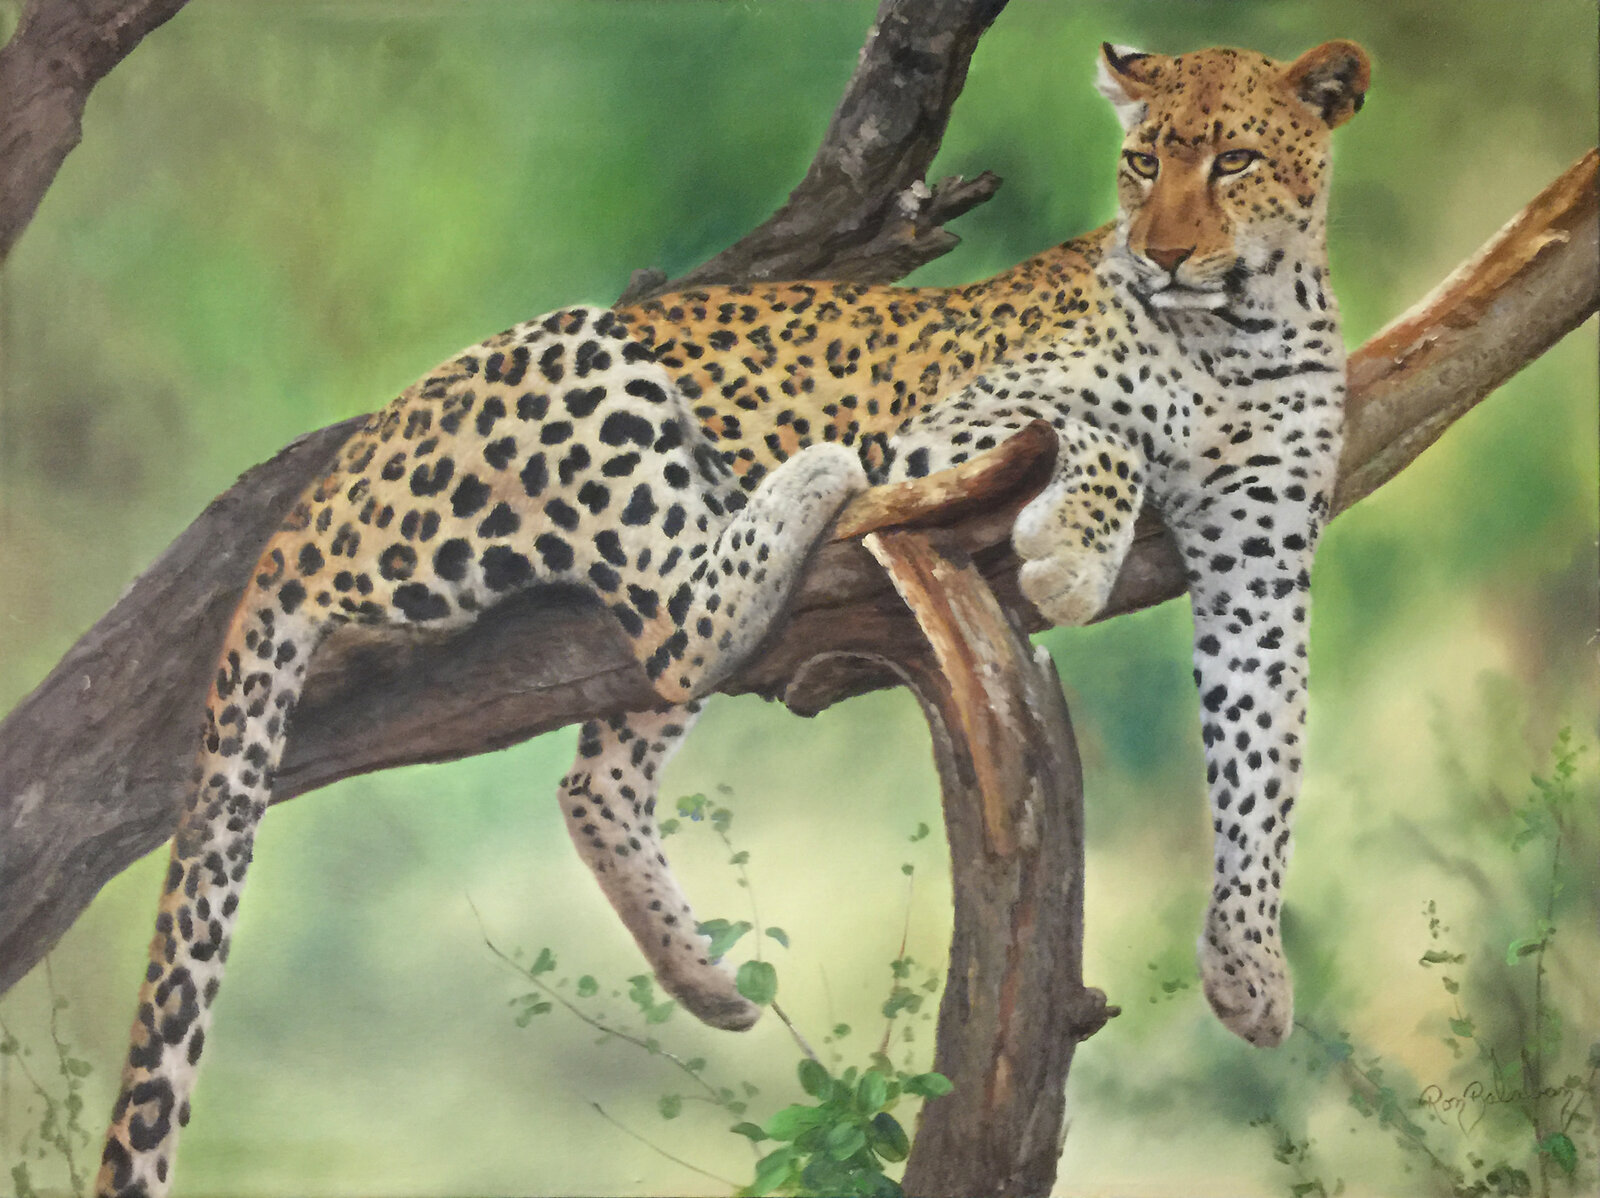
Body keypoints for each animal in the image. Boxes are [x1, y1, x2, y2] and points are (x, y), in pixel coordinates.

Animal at [97, 38, 1369, 1196]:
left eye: (1234, 160)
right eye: (1142, 161)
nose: (1159, 256)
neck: (1238, 337)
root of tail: (330, 475)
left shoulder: (1263, 556)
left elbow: (1264, 749)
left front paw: (1248, 965)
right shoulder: (947, 433)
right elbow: (1095, 423)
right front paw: (1067, 556)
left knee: (608, 754)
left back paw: (706, 981)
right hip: (577, 360)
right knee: (681, 615)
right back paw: (808, 478)